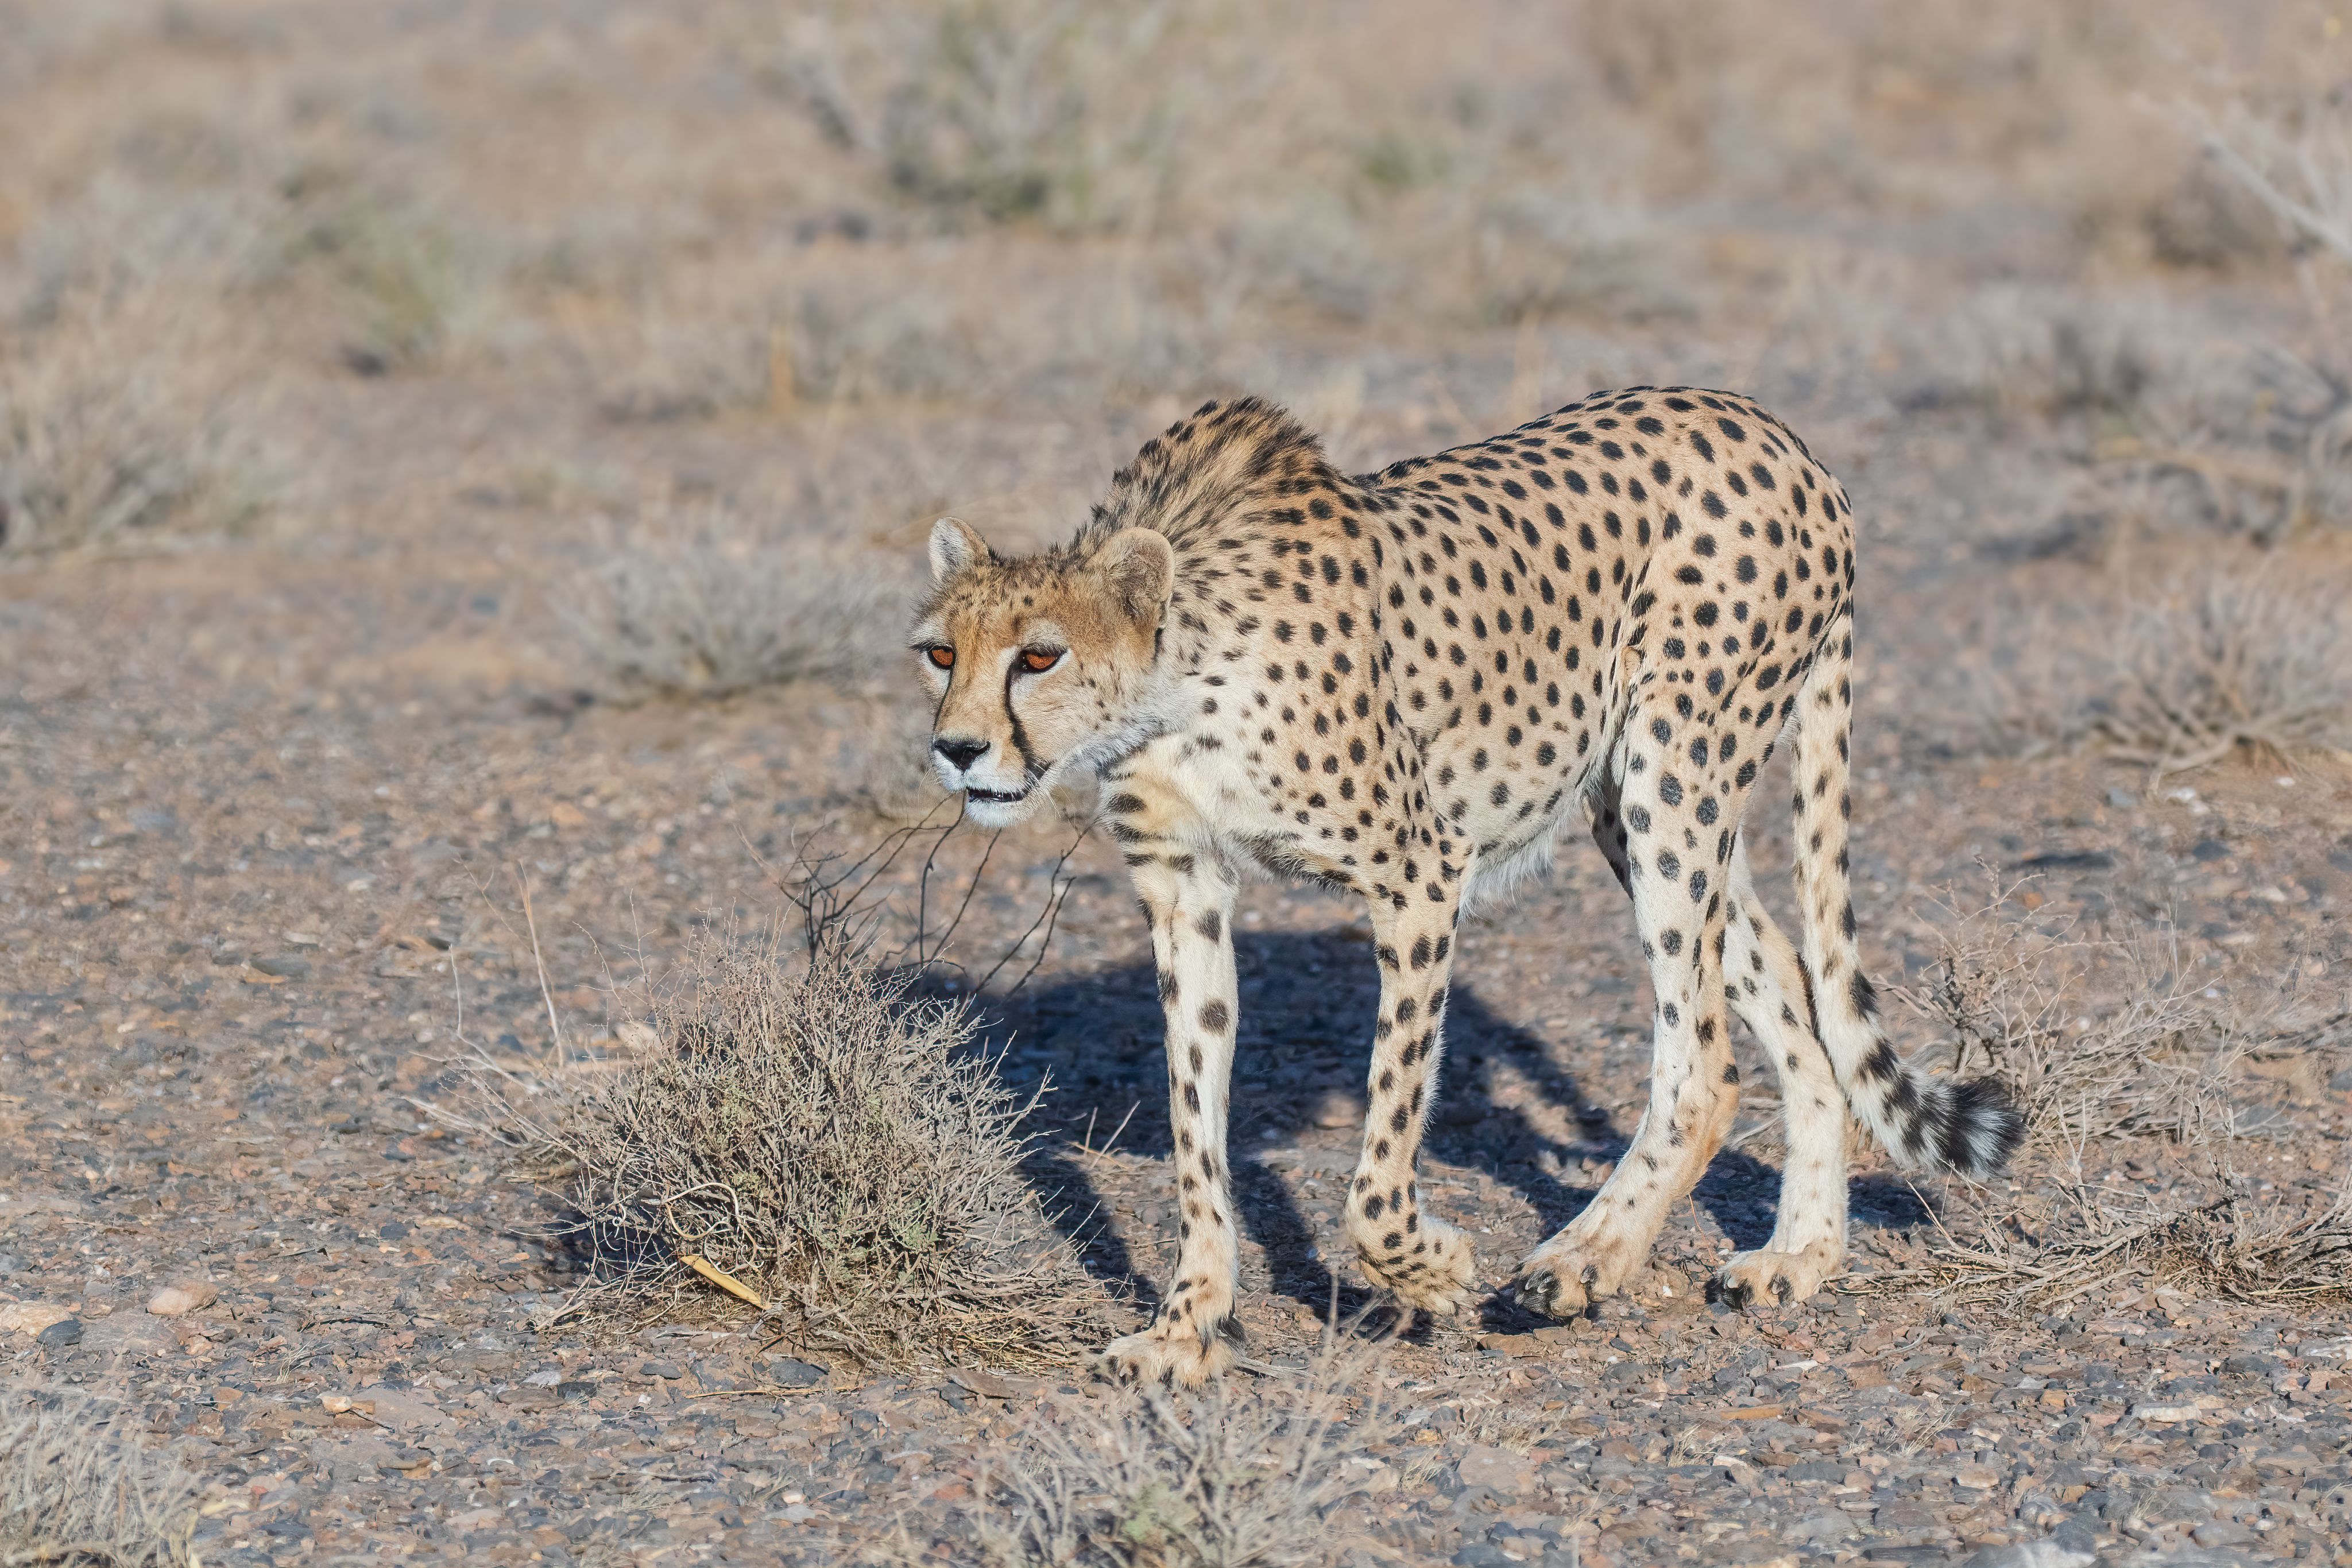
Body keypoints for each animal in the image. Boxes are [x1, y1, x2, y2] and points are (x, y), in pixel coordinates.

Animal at [910, 389, 2023, 1386]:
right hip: (1631, 798)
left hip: (1675, 767)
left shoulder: (1419, 871)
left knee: (1704, 1058)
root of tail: (1777, 434)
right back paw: (1799, 1254)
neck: (1177, 676)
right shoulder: (1185, 890)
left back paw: (1584, 1259)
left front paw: (1428, 1270)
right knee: (1787, 978)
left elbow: (1381, 1148)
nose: (957, 750)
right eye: (941, 653)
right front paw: (1187, 1329)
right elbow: (1196, 1130)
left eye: (1040, 655)